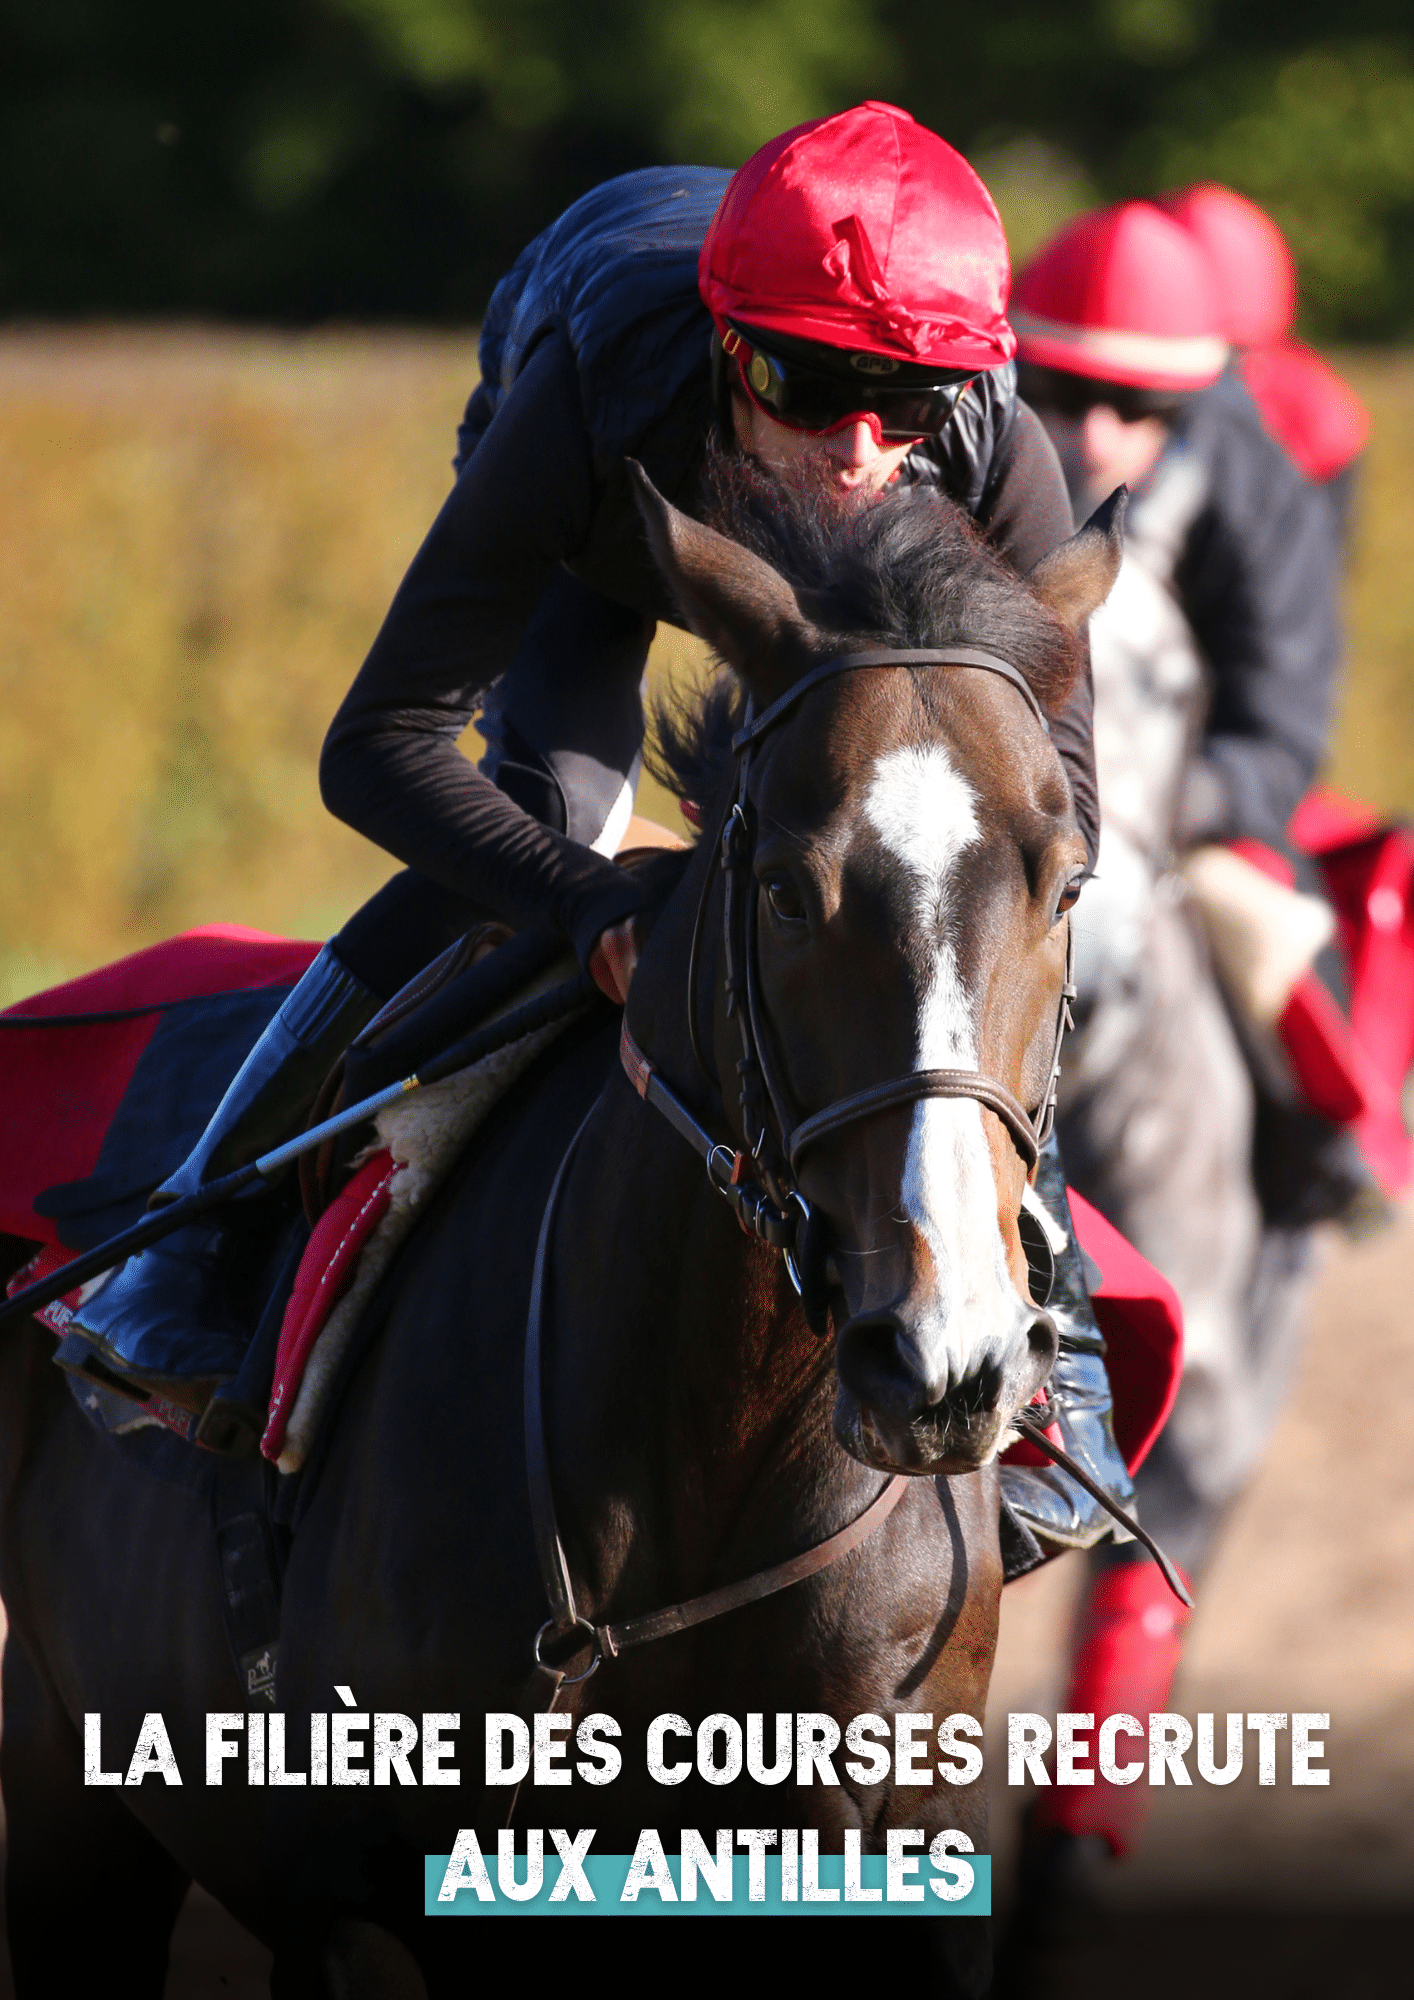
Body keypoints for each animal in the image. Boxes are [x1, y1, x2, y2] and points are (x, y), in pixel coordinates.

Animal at [0, 458, 1120, 2000]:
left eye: (1064, 883)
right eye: (786, 889)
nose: (940, 1363)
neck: (707, 1477)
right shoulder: (372, 1913)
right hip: (70, 1803)